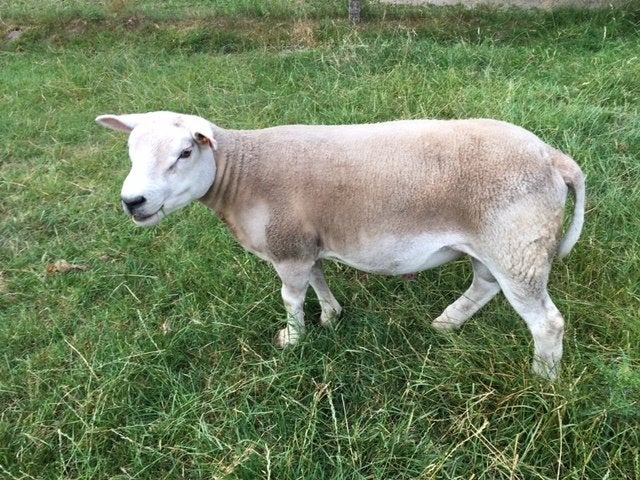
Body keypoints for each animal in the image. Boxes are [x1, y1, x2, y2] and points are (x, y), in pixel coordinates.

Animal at [96, 111, 585, 380]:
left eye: (185, 153)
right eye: (131, 151)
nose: (133, 202)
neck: (241, 174)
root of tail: (554, 158)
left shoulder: (287, 246)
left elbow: (291, 297)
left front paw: (293, 339)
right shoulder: (305, 241)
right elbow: (318, 278)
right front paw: (331, 315)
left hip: (516, 243)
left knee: (547, 323)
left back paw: (543, 378)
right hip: (497, 245)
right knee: (485, 284)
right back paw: (447, 323)